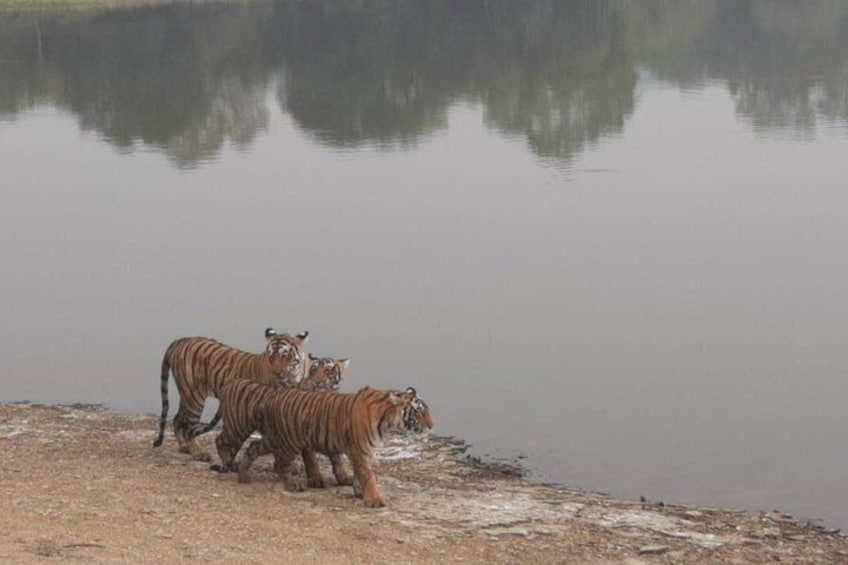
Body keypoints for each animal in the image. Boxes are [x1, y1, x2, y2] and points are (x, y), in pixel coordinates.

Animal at [154, 326, 310, 458]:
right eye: (270, 356)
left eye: (285, 355)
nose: (276, 373)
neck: (292, 377)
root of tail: (182, 340)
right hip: (194, 396)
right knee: (189, 426)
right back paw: (199, 453)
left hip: (187, 395)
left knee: (177, 420)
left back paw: (184, 448)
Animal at [211, 354, 352, 482]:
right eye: (314, 369)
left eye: (328, 370)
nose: (317, 382)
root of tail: (229, 383)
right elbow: (311, 459)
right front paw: (316, 479)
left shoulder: (329, 428)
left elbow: (337, 458)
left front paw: (343, 478)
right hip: (237, 428)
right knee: (220, 441)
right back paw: (226, 465)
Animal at [234, 384, 430, 506]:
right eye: (419, 412)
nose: (431, 426)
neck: (386, 421)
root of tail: (270, 398)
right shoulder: (359, 450)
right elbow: (368, 476)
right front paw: (374, 500)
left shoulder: (364, 450)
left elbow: (361, 474)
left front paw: (359, 492)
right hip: (289, 442)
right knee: (279, 464)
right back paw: (292, 484)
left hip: (275, 438)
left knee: (253, 446)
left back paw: (243, 476)